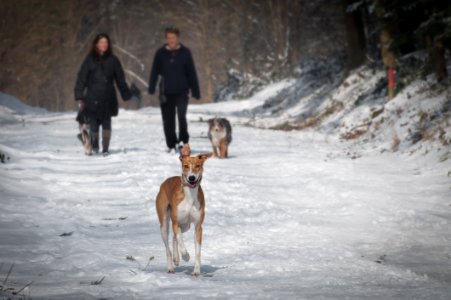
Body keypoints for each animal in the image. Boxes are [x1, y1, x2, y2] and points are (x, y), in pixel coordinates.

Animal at [155, 144, 212, 276]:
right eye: (186, 166)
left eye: (198, 166)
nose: (191, 178)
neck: (189, 195)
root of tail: (164, 182)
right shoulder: (176, 222)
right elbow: (180, 240)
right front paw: (185, 256)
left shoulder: (198, 227)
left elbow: (197, 251)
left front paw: (196, 271)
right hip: (164, 224)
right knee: (168, 247)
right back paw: (171, 266)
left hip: (186, 225)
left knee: (174, 237)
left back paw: (176, 258)